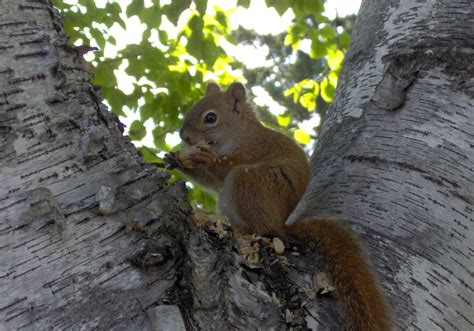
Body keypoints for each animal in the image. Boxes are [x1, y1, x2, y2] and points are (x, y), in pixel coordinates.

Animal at [165, 81, 394, 330]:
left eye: (210, 118)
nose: (184, 136)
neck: (239, 132)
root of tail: (281, 224)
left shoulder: (252, 149)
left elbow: (224, 168)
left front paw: (204, 159)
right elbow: (208, 180)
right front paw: (175, 159)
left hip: (250, 182)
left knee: (262, 227)